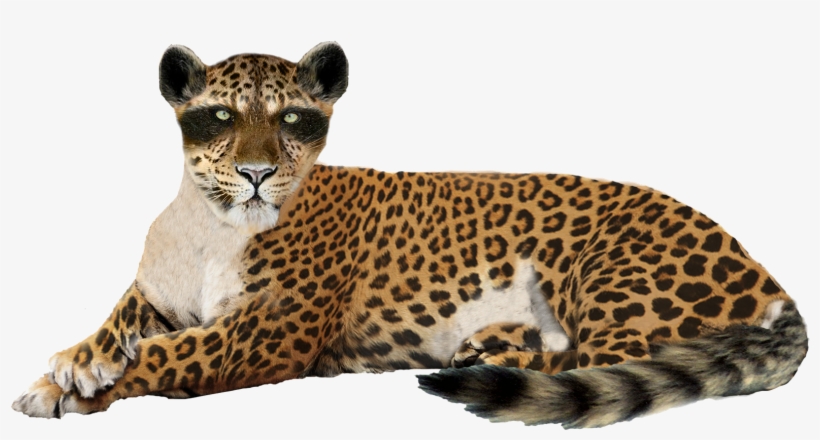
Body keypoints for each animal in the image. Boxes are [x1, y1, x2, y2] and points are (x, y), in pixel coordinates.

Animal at [12, 42, 808, 428]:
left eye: (294, 118)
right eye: (220, 117)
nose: (258, 173)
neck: (210, 224)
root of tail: (768, 278)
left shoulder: (265, 334)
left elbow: (167, 355)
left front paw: (70, 389)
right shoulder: (159, 296)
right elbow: (119, 320)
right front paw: (72, 364)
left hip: (609, 272)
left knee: (598, 363)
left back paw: (496, 354)